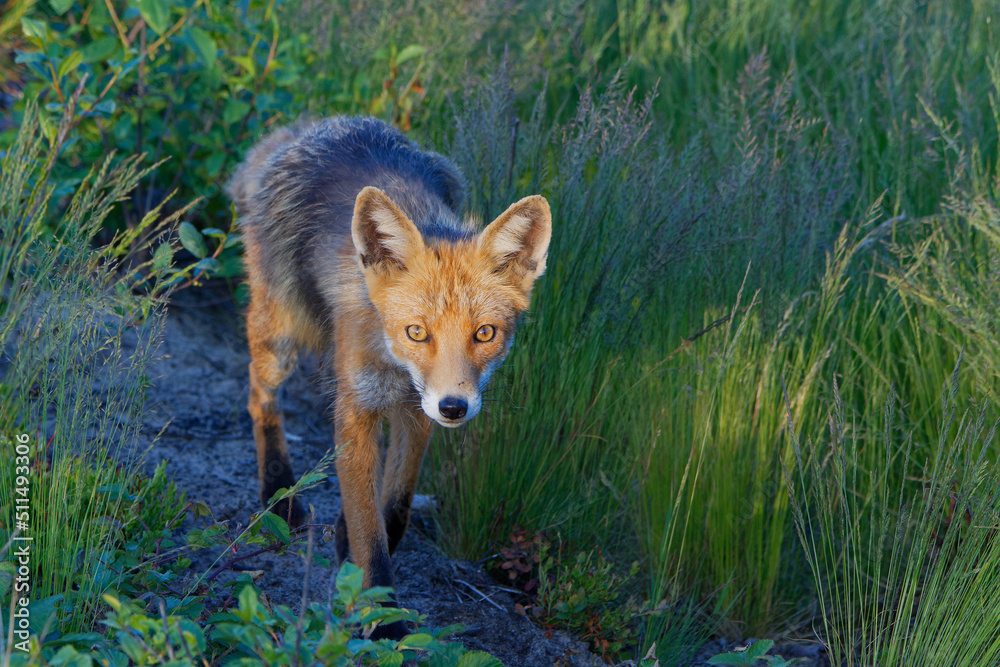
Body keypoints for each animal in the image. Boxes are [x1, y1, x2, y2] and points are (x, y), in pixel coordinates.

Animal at [226, 116, 551, 629]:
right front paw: (385, 620)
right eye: (417, 332)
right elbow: (368, 527)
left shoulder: (417, 409)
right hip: (281, 339)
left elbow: (394, 504)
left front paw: (353, 554)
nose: (454, 408)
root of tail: (306, 127)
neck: (395, 364)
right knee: (260, 398)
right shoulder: (356, 407)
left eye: (484, 334)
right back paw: (278, 488)